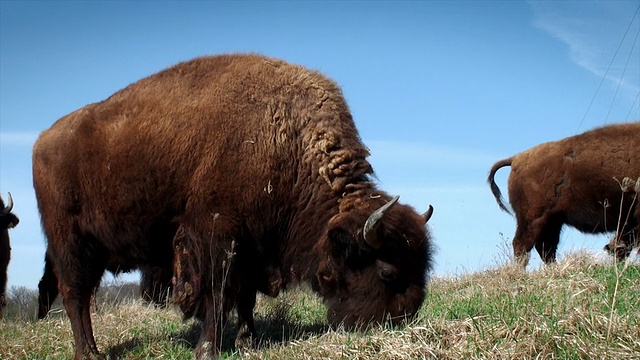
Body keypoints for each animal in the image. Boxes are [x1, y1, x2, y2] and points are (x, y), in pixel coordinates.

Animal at [33, 54, 436, 360]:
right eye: (387, 271)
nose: (401, 318)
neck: (286, 140)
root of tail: (43, 140)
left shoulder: (253, 246)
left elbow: (245, 297)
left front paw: (247, 341)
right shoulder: (216, 237)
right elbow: (218, 292)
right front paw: (208, 349)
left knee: (81, 295)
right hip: (70, 244)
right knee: (75, 295)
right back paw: (90, 353)